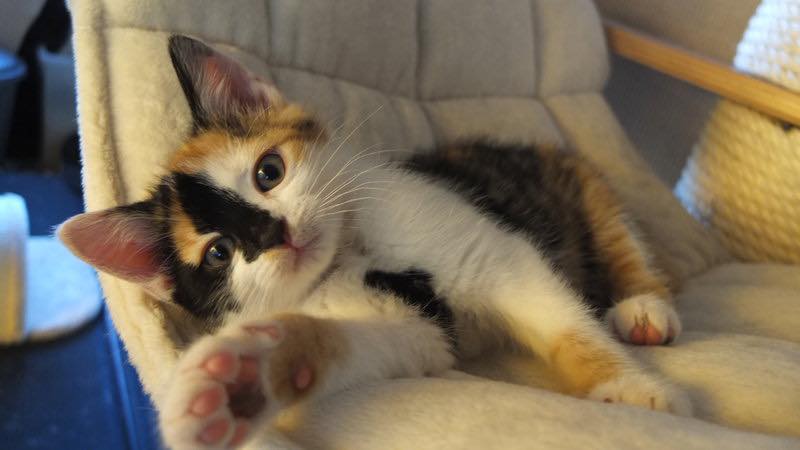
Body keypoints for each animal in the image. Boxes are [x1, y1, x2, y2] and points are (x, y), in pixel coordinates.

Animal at [58, 35, 690, 450]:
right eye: (218, 253)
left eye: (268, 171)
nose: (275, 234)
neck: (354, 255)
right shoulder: (413, 331)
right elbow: (367, 345)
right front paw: (238, 378)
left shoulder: (490, 251)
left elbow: (560, 319)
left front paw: (631, 391)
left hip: (581, 180)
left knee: (620, 237)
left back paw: (644, 308)